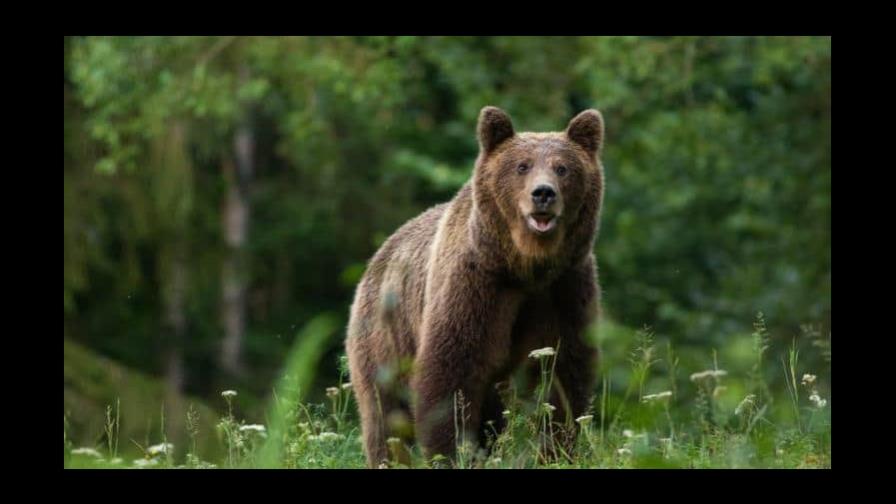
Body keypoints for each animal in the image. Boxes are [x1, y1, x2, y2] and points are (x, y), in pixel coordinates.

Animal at [346, 106, 604, 468]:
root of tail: (378, 256)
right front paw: (452, 453)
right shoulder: (476, 287)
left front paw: (557, 450)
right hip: (384, 337)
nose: (543, 193)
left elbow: (563, 376)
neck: (525, 266)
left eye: (562, 167)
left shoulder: (564, 289)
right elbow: (451, 376)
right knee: (386, 416)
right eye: (522, 166)